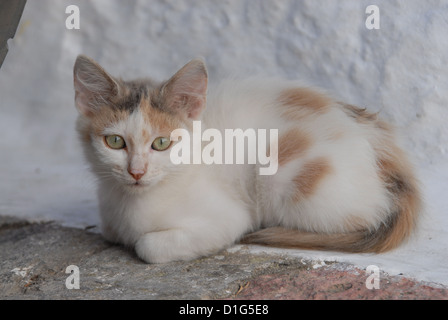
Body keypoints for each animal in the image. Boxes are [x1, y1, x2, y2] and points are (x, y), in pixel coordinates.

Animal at [72, 55, 420, 264]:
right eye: (115, 142)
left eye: (161, 143)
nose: (137, 172)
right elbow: (111, 231)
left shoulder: (228, 219)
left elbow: (149, 246)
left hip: (284, 178)